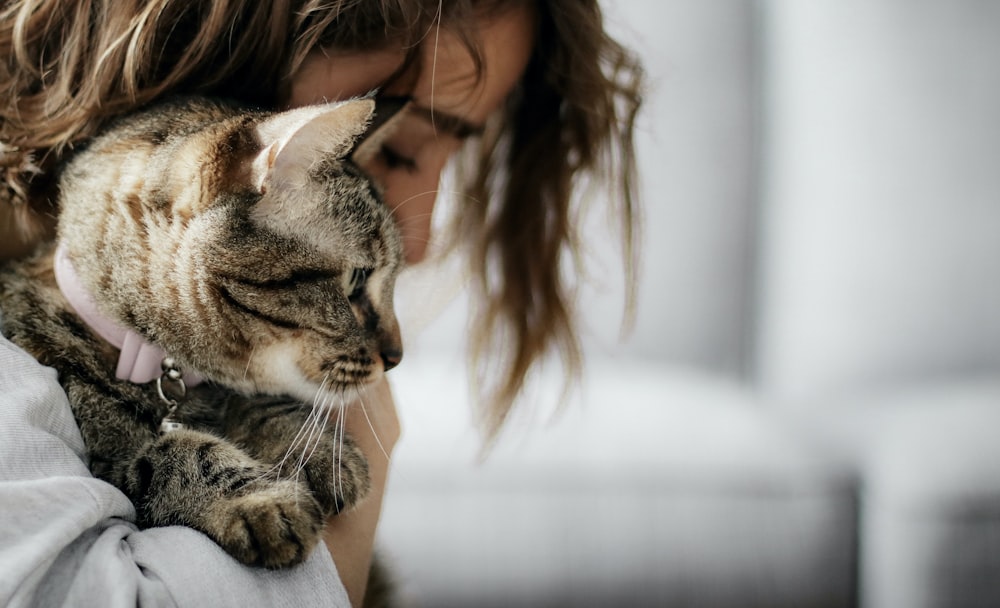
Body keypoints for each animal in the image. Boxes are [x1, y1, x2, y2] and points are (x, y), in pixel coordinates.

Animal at [1, 95, 406, 568]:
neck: (154, 362)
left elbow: (255, 400)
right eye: (357, 281)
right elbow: (177, 452)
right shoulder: (112, 461)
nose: (397, 357)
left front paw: (316, 446)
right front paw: (261, 499)